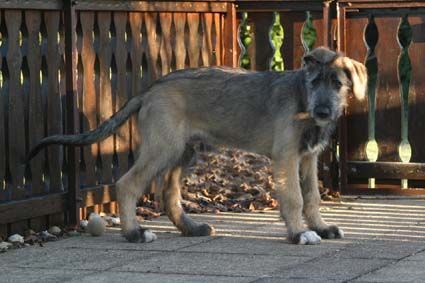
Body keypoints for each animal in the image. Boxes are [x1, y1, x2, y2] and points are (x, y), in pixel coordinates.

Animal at [27, 46, 364, 244]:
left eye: (337, 83)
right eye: (314, 82)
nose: (323, 112)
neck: (302, 99)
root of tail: (149, 90)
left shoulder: (308, 159)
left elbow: (313, 197)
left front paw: (321, 227)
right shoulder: (286, 158)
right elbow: (294, 198)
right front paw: (298, 233)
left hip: (183, 151)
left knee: (168, 194)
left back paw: (191, 228)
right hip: (163, 148)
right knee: (127, 184)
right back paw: (134, 232)